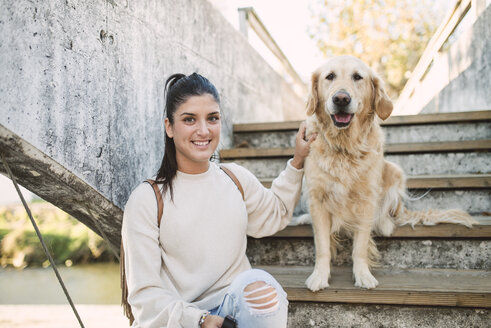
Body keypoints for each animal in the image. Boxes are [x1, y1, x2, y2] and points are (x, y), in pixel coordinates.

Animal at [306, 55, 474, 290]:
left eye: (357, 77)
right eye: (329, 76)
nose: (341, 98)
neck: (345, 146)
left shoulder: (367, 200)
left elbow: (360, 246)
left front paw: (363, 275)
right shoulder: (317, 199)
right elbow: (322, 246)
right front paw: (319, 276)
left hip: (395, 170)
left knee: (392, 211)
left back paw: (385, 223)